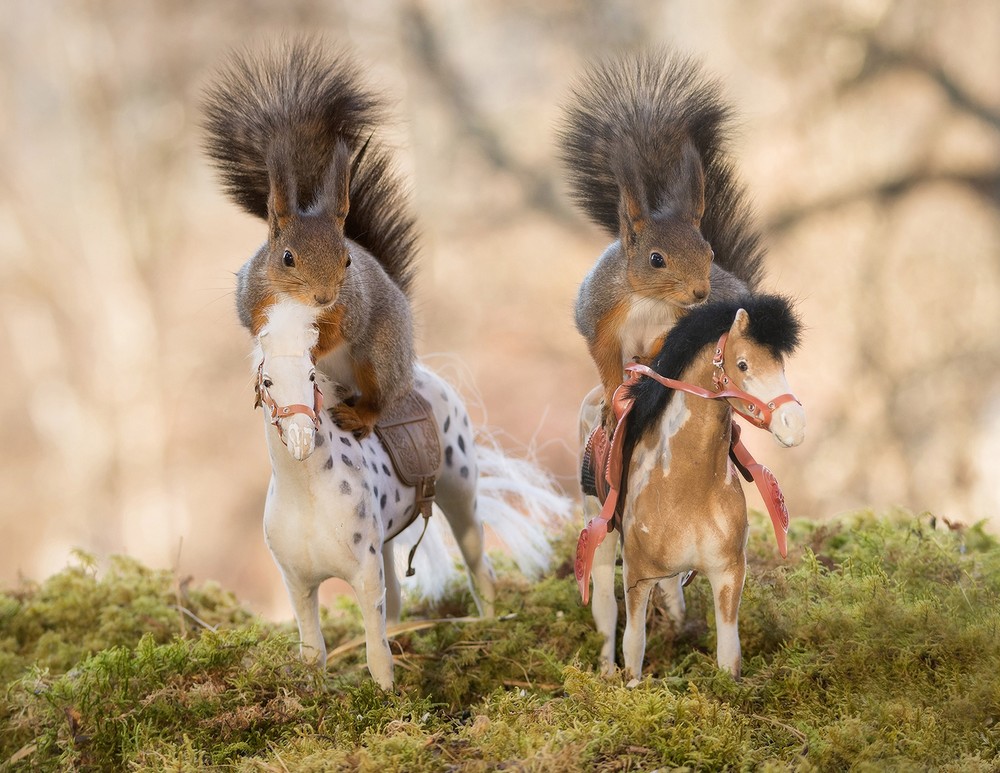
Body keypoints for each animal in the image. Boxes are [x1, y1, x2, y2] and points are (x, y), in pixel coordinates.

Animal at [201, 39, 440, 548]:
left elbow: (332, 335)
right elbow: (257, 331)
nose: (326, 296)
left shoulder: (350, 310)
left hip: (380, 354)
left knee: (383, 397)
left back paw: (361, 415)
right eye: (287, 257)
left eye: (348, 260)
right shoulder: (253, 300)